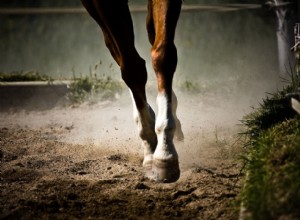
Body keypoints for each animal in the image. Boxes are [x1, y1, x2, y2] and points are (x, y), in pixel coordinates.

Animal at [82, 0, 184, 182]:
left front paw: (165, 152)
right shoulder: (102, 4)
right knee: (115, 49)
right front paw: (151, 149)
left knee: (151, 33)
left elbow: (163, 55)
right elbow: (132, 68)